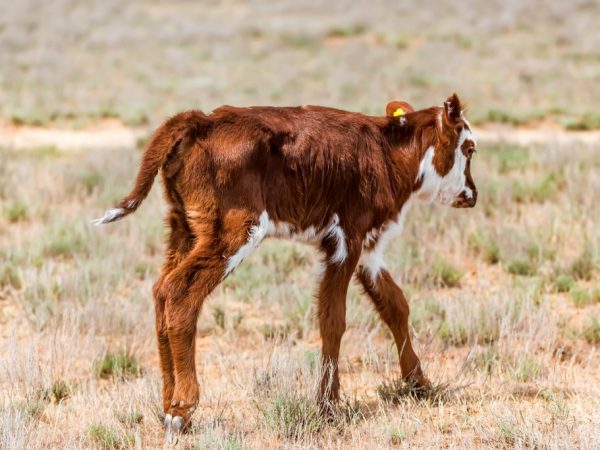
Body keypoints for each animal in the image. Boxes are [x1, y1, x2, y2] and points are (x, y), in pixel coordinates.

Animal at [94, 94, 478, 436]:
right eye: (470, 149)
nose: (472, 195)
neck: (388, 152)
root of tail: (201, 120)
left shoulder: (368, 249)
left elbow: (395, 305)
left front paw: (419, 382)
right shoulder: (347, 240)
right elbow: (333, 319)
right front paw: (327, 406)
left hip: (184, 227)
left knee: (161, 290)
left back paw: (167, 402)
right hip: (233, 232)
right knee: (180, 294)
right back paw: (182, 408)